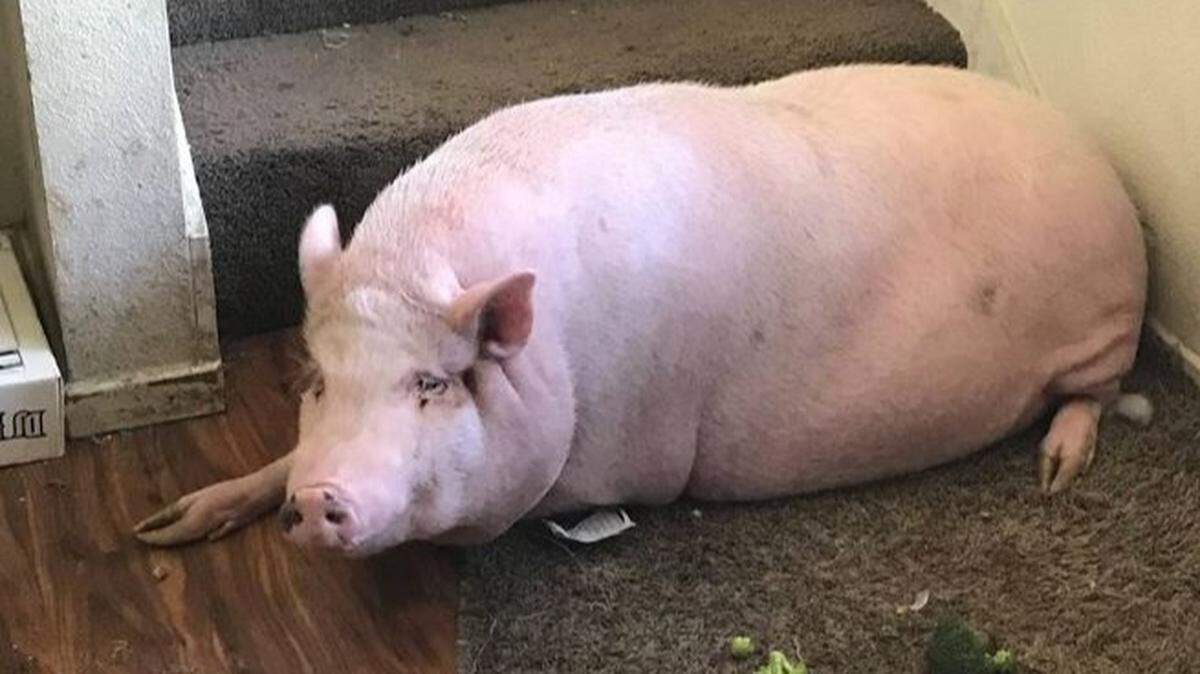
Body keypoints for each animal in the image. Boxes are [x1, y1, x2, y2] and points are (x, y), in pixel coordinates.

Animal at [135, 64, 1151, 556]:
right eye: (315, 381)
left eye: (432, 383)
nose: (318, 498)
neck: (565, 358)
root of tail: (1100, 161)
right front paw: (165, 526)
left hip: (1106, 322)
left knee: (1096, 394)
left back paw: (1057, 472)